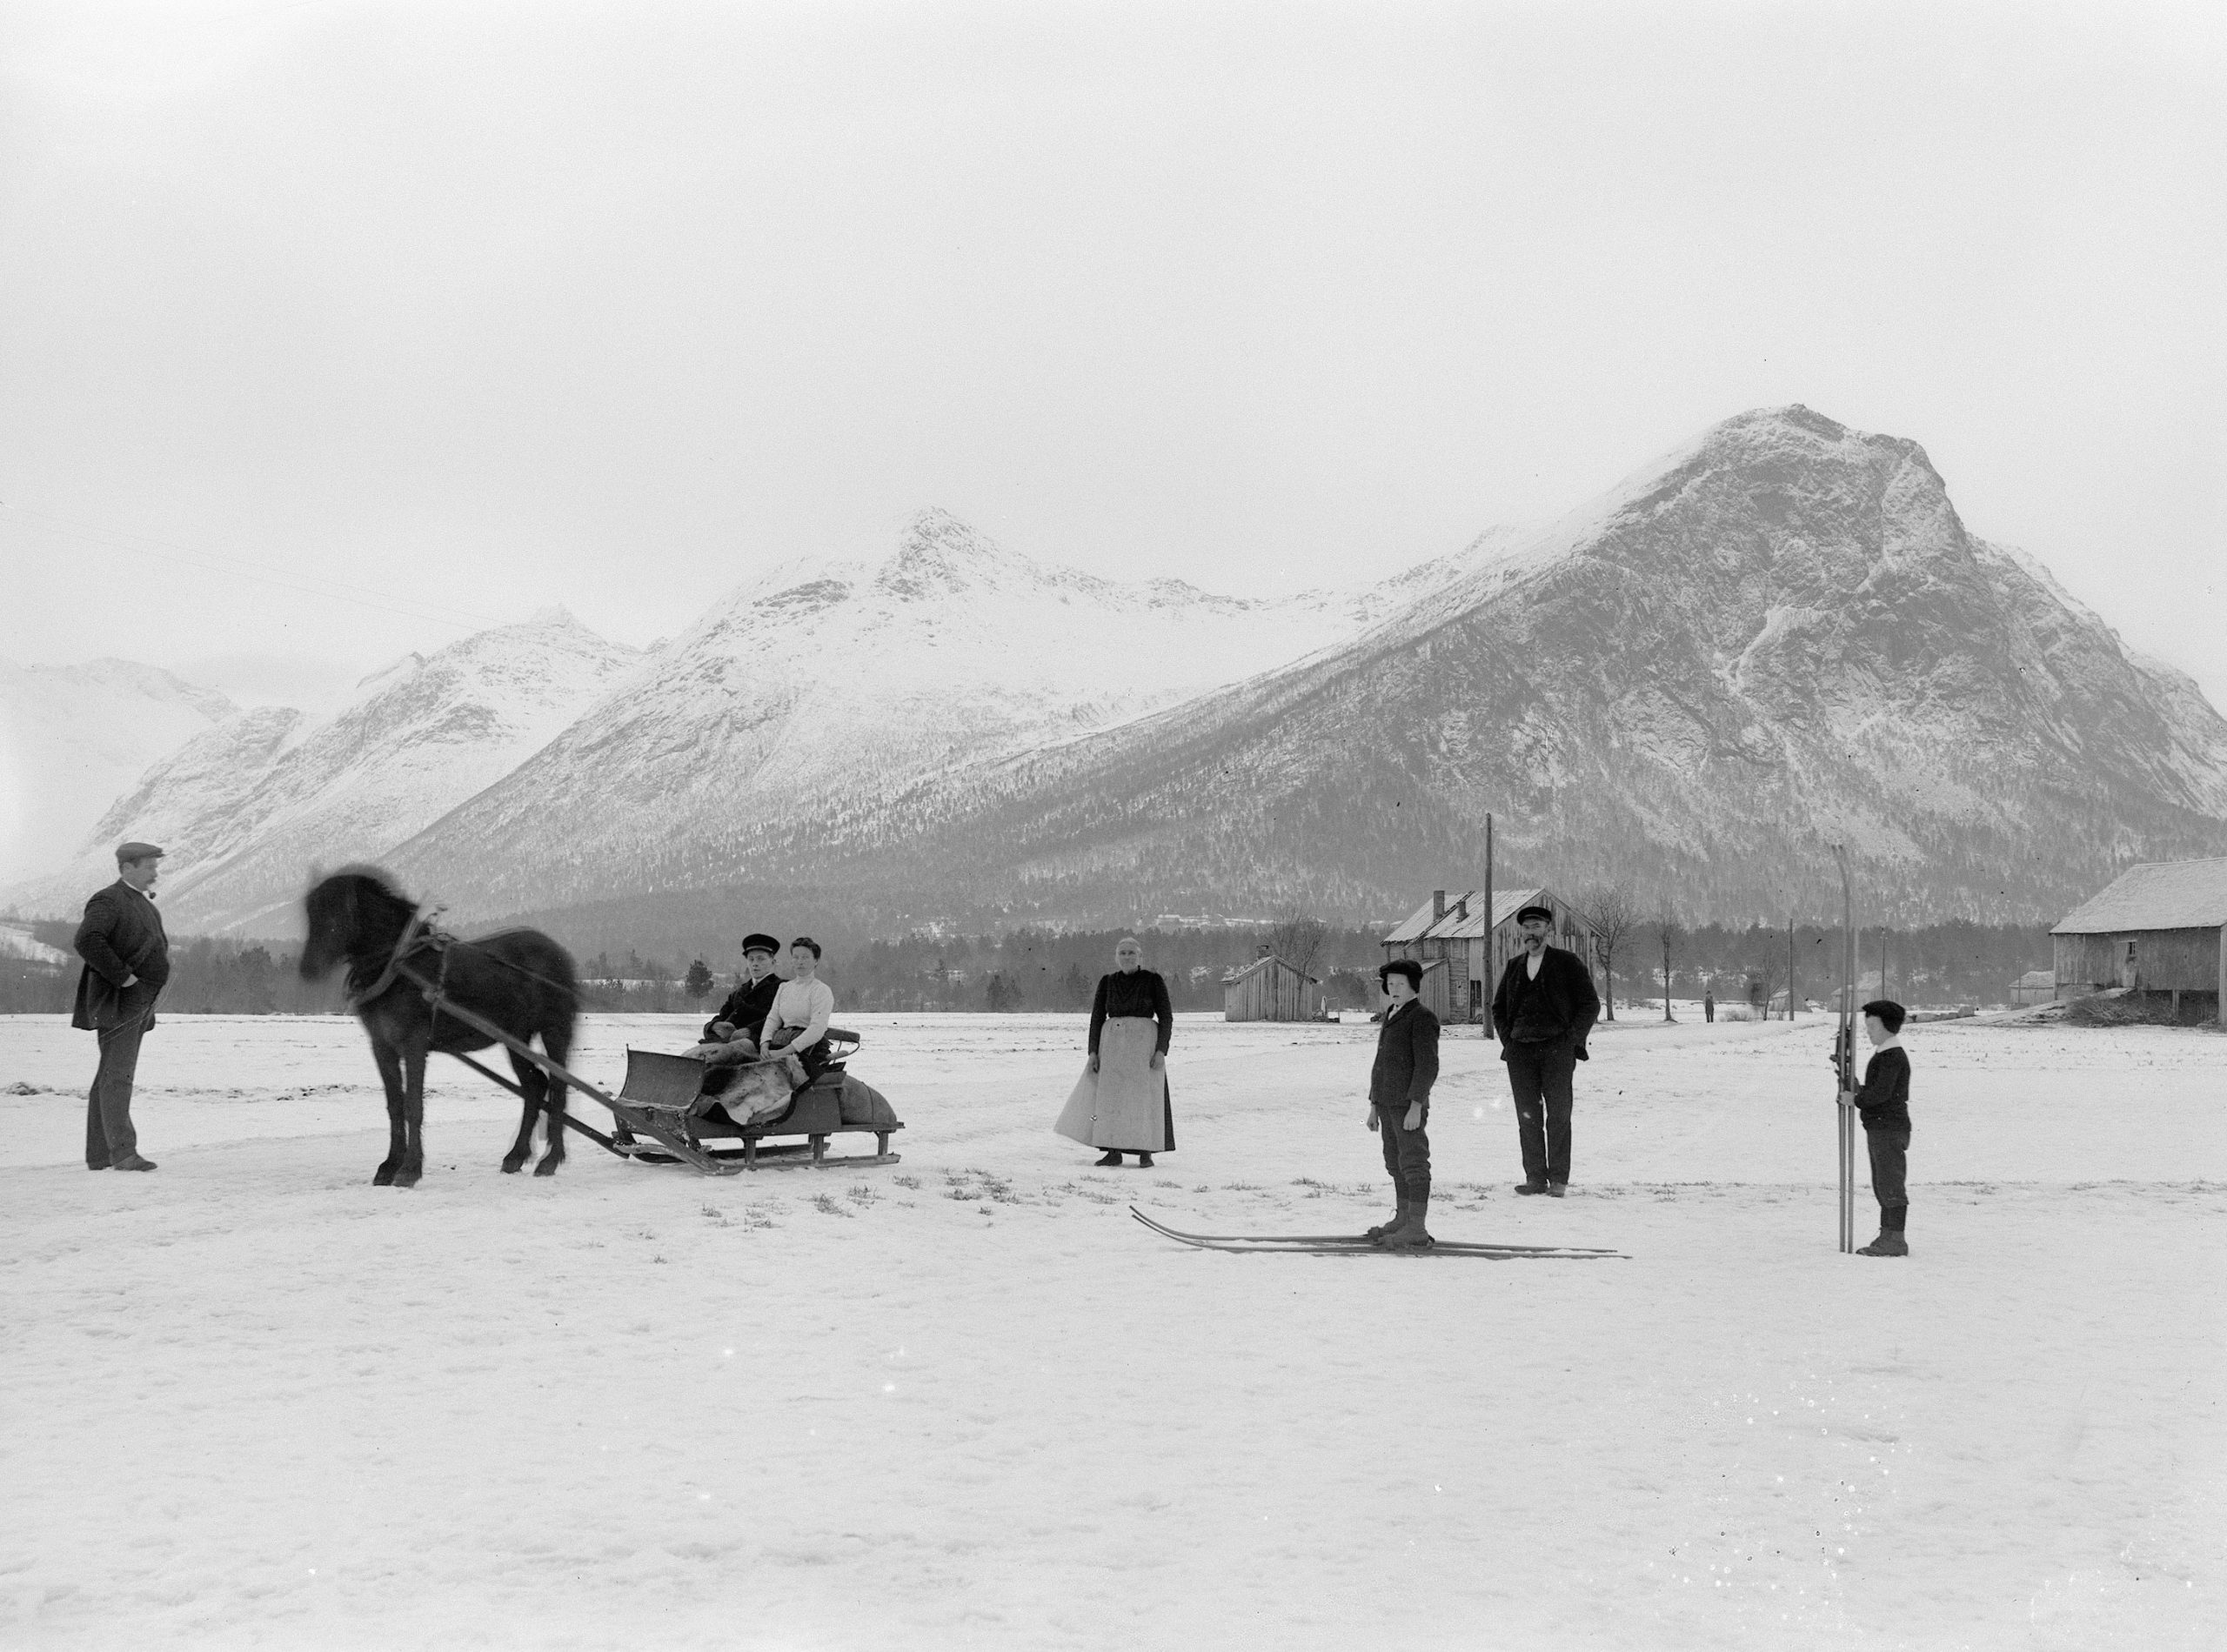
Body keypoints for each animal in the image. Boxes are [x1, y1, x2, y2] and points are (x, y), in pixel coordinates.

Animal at [303, 873, 583, 1184]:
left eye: (335, 914)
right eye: (310, 914)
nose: (307, 968)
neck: (399, 965)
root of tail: (559, 954)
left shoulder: (414, 1043)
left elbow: (413, 1105)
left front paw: (410, 1169)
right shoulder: (382, 1046)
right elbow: (395, 1106)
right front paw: (389, 1165)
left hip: (555, 1032)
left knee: (558, 1088)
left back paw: (550, 1159)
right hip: (516, 1039)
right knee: (535, 1086)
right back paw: (516, 1155)